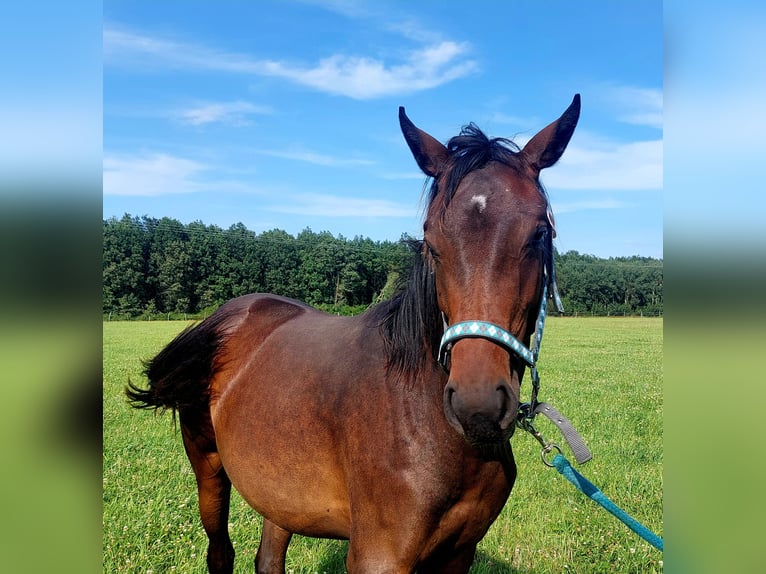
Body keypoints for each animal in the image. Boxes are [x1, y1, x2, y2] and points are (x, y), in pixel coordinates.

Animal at [126, 95, 584, 574]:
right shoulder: (377, 556)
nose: (478, 405)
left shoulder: (460, 552)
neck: (421, 419)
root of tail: (231, 316)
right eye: (430, 241)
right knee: (220, 551)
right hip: (208, 468)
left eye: (539, 232)